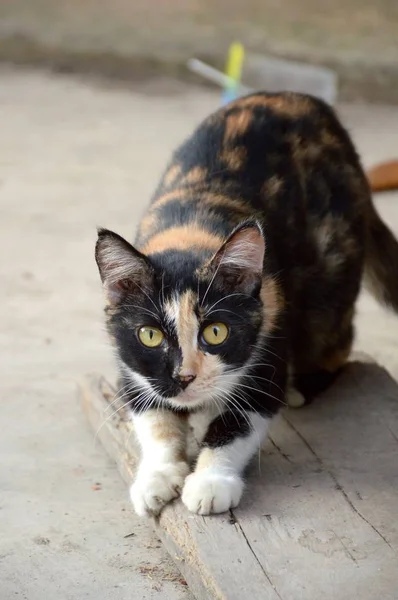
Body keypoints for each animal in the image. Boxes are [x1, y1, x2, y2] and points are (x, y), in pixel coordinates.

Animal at [95, 90, 398, 516]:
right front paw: (156, 476)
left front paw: (210, 482)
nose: (184, 377)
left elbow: (242, 418)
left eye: (216, 332)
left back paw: (303, 387)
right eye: (150, 335)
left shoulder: (269, 327)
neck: (190, 230)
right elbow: (153, 419)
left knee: (335, 336)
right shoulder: (132, 364)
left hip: (330, 273)